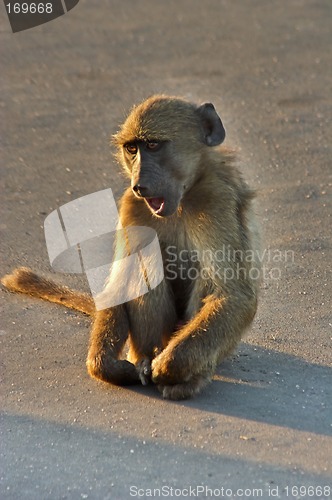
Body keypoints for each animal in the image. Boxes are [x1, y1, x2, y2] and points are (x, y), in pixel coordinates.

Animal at [3, 94, 262, 398]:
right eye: (131, 149)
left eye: (153, 145)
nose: (139, 184)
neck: (183, 199)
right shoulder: (132, 206)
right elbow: (118, 286)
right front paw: (108, 366)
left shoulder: (217, 199)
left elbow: (233, 293)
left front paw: (170, 367)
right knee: (144, 262)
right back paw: (145, 360)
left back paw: (186, 378)